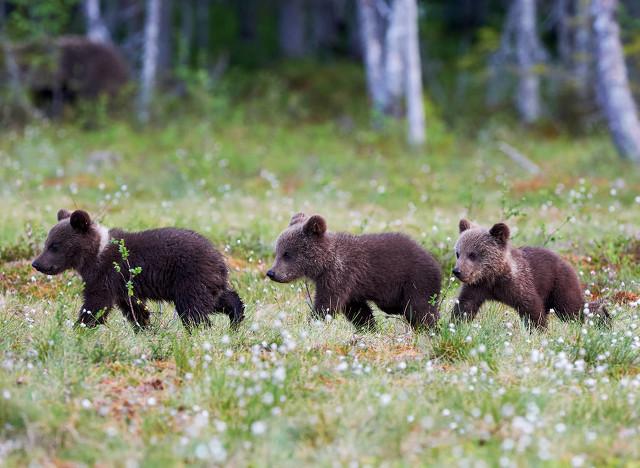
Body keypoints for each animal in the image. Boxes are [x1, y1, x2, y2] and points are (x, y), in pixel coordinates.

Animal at [31, 210, 245, 330]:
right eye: (47, 243)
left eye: (54, 246)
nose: (37, 263)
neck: (95, 253)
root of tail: (219, 258)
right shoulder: (123, 285)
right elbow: (133, 307)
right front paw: (145, 327)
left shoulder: (106, 274)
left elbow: (97, 303)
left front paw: (79, 327)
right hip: (207, 281)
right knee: (219, 299)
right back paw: (236, 318)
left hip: (189, 277)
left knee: (193, 309)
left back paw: (200, 330)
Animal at [264, 212, 440, 330]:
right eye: (277, 251)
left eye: (287, 254)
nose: (271, 273)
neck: (324, 264)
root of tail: (434, 261)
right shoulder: (350, 288)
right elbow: (358, 311)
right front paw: (368, 327)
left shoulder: (340, 276)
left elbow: (327, 304)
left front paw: (312, 323)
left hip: (416, 281)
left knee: (421, 309)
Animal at [450, 218, 608, 330]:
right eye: (458, 253)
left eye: (472, 254)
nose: (457, 271)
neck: (494, 277)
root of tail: (567, 263)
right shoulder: (477, 287)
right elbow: (465, 305)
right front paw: (454, 325)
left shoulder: (519, 284)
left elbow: (532, 308)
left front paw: (539, 331)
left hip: (559, 284)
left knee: (572, 308)